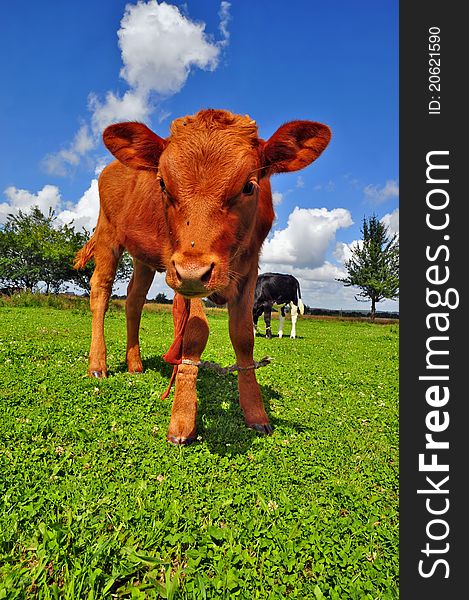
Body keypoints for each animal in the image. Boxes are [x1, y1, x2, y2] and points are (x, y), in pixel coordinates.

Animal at [74, 109, 330, 446]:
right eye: (163, 184)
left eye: (249, 186)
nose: (194, 271)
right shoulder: (183, 274)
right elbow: (195, 332)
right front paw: (182, 419)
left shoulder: (249, 271)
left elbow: (243, 336)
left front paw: (256, 413)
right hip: (108, 237)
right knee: (100, 293)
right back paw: (97, 365)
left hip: (144, 259)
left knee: (134, 300)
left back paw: (135, 364)